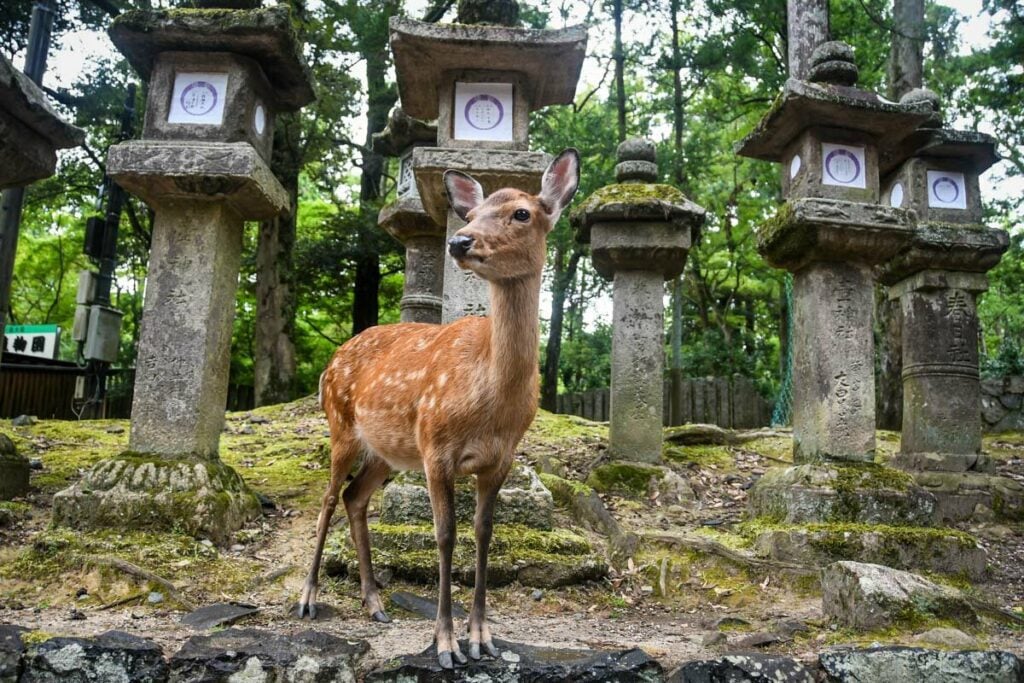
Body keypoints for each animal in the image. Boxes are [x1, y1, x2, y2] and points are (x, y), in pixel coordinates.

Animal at [299, 148, 581, 667]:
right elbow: (445, 534)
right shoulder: (435, 447)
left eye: (522, 213)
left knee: (355, 498)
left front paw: (482, 636)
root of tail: (331, 361)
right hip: (340, 424)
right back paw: (307, 597)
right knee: (328, 498)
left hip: (386, 452)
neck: (490, 400)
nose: (459, 240)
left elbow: (484, 532)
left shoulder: (501, 458)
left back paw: (374, 603)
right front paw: (446, 643)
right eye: (470, 214)